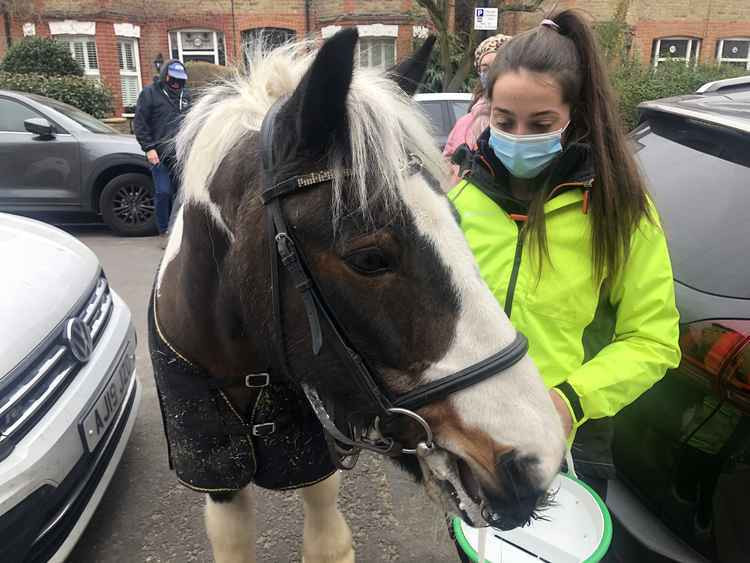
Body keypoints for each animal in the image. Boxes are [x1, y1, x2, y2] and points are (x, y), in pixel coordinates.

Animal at [150, 29, 568, 563]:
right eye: (370, 258)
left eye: (457, 220)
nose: (538, 458)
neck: (243, 363)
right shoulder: (218, 475)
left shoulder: (316, 453)